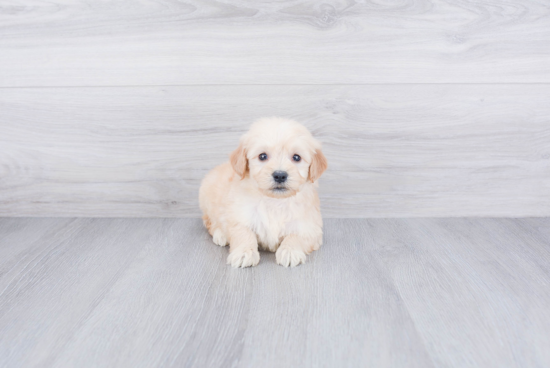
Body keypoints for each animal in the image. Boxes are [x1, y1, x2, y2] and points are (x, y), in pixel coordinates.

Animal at [199, 117, 326, 268]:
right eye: (262, 156)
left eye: (296, 157)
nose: (280, 175)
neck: (275, 201)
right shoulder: (239, 215)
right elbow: (243, 233)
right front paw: (244, 252)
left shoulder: (310, 227)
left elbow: (296, 236)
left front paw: (289, 251)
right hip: (207, 199)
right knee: (210, 222)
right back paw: (221, 235)